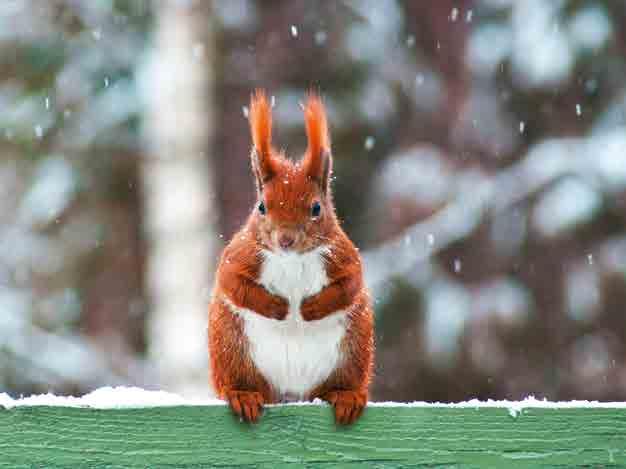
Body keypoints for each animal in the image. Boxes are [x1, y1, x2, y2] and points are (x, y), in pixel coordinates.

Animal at [207, 88, 372, 424]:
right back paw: (243, 395)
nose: (285, 239)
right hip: (231, 349)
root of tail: (292, 392)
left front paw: (311, 308)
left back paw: (345, 396)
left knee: (337, 385)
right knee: (241, 382)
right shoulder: (239, 255)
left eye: (316, 208)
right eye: (261, 206)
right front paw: (278, 307)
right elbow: (232, 282)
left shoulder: (345, 258)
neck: (292, 259)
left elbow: (349, 286)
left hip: (353, 351)